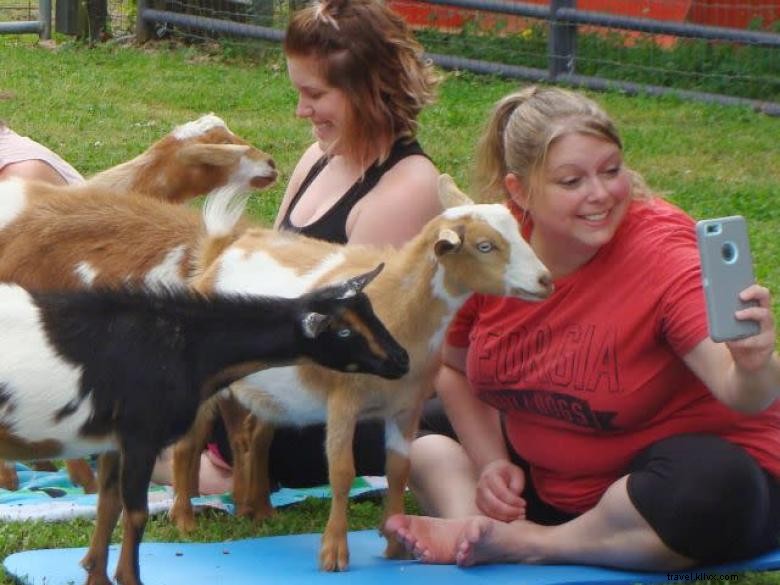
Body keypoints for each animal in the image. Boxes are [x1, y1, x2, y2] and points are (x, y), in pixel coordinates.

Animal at [0, 266, 408, 585]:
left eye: (371, 311)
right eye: (343, 332)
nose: (401, 360)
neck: (187, 345)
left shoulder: (114, 443)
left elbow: (108, 505)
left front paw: (96, 574)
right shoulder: (141, 436)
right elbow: (136, 512)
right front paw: (130, 578)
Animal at [170, 174, 553, 571]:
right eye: (484, 246)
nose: (545, 280)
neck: (400, 306)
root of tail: (220, 253)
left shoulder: (406, 407)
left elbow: (398, 470)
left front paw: (397, 544)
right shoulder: (343, 402)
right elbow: (342, 473)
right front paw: (334, 553)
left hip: (274, 394)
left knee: (253, 438)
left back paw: (257, 511)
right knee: (187, 444)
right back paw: (185, 520)